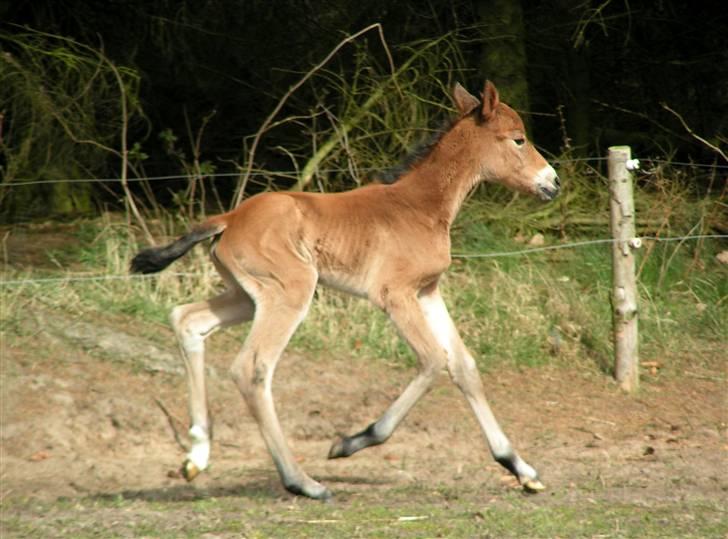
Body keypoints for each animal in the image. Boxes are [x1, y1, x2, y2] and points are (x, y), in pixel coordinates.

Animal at [131, 81, 560, 502]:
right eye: (518, 139)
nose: (553, 182)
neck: (419, 206)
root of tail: (229, 217)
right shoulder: (394, 294)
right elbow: (432, 360)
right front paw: (352, 441)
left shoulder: (427, 291)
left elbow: (463, 366)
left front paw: (521, 469)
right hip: (290, 291)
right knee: (252, 367)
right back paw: (302, 482)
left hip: (246, 296)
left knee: (187, 319)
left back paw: (197, 456)